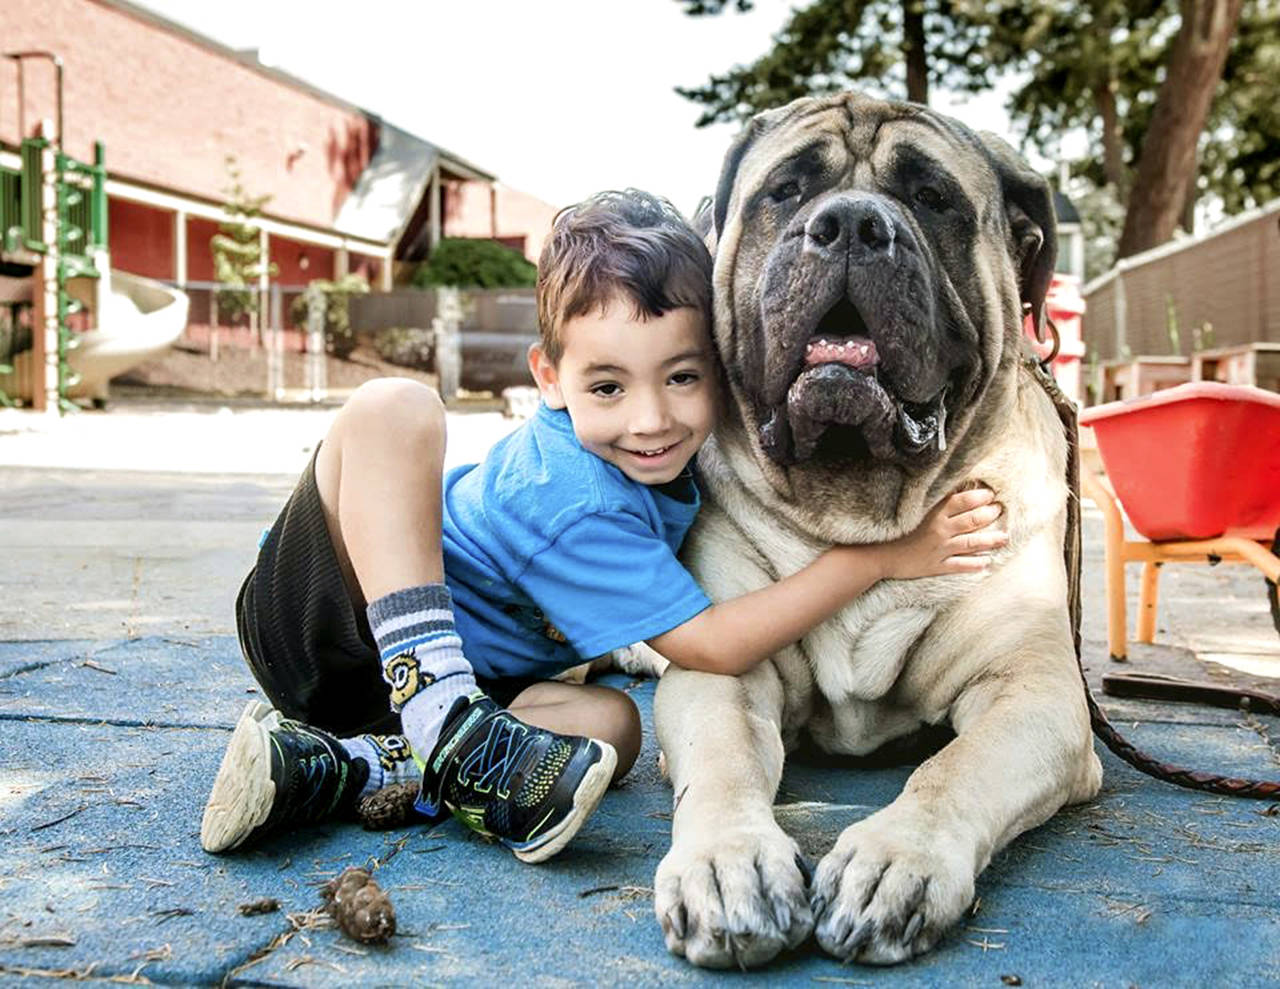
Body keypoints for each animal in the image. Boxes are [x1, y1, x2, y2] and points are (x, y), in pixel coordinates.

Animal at [655, 94, 1105, 962]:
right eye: (787, 190)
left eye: (932, 199)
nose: (852, 224)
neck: (856, 505)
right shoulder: (721, 670)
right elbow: (723, 758)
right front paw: (727, 863)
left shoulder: (1034, 690)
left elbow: (956, 767)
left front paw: (896, 860)